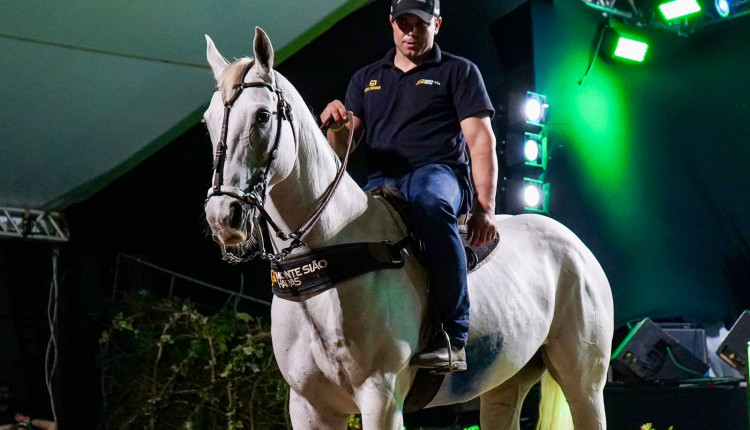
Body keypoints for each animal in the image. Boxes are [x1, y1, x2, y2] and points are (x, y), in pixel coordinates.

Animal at [203, 27, 612, 430]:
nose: (223, 215)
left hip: (584, 384)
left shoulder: (381, 397)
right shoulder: (308, 406)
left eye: (262, 116)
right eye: (208, 120)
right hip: (506, 384)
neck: (326, 260)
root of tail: (575, 246)